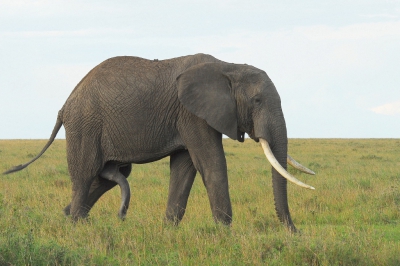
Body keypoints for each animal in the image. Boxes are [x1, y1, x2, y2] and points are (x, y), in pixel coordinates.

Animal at [3, 53, 316, 232]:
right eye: (257, 101)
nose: (295, 232)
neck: (228, 66)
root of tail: (64, 106)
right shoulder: (192, 114)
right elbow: (211, 163)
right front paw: (226, 232)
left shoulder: (188, 116)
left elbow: (185, 168)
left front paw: (169, 231)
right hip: (86, 125)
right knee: (85, 175)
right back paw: (77, 227)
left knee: (106, 177)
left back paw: (67, 216)